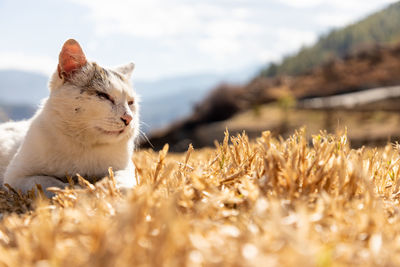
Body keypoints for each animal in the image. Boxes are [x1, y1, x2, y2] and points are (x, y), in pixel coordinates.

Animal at [0, 39, 139, 197]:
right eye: (103, 96)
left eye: (131, 102)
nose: (129, 118)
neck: (85, 145)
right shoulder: (16, 176)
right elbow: (48, 183)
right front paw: (74, 191)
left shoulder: (126, 168)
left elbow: (123, 178)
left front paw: (114, 189)